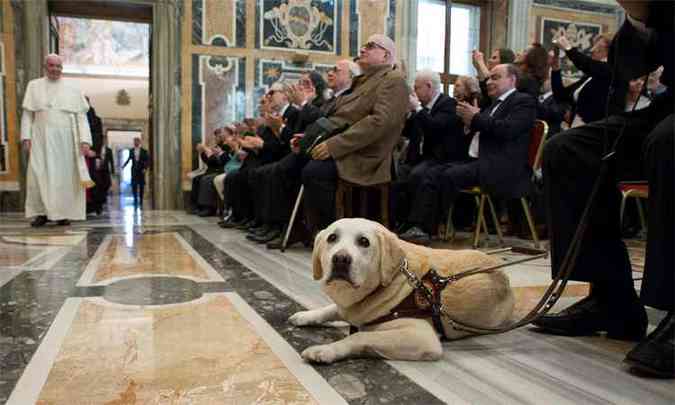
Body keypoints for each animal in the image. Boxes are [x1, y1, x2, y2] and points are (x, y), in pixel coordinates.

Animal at [288, 218, 516, 362]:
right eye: (332, 238)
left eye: (364, 241)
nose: (341, 259)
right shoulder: (351, 309)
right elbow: (331, 309)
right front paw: (306, 315)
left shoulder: (421, 337)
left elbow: (359, 337)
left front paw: (325, 350)